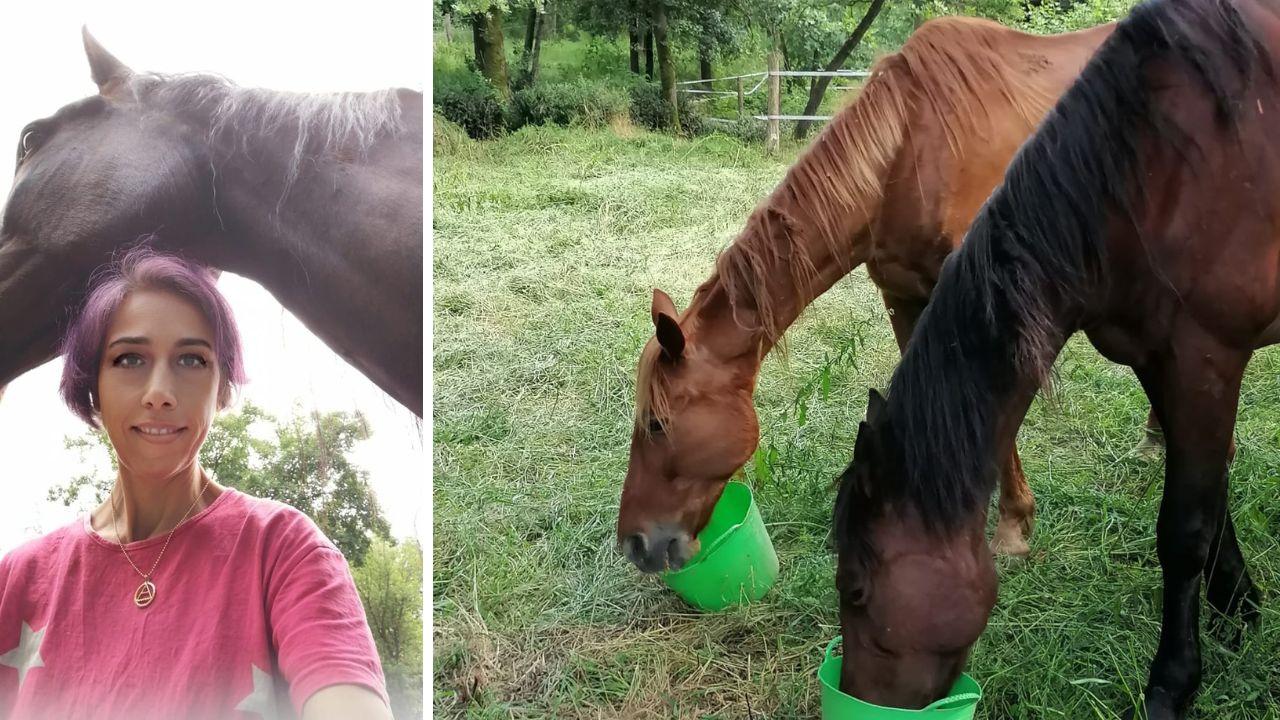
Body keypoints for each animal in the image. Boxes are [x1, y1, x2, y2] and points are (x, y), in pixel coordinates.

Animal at [836, 0, 1279, 715]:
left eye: (854, 590)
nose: (853, 699)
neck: (1156, 172)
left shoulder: (1205, 358)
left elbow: (1186, 528)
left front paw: (1174, 681)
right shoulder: (1159, 359)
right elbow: (1214, 503)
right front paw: (1239, 610)